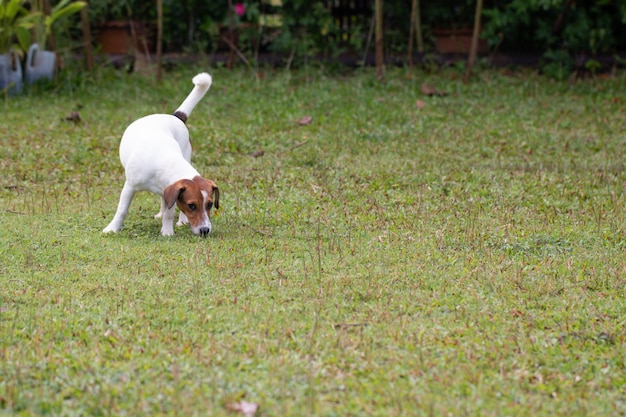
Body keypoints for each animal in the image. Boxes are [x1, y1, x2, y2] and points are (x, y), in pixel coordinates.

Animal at [103, 70, 219, 237]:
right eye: (191, 205)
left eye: (210, 204)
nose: (205, 230)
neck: (166, 161)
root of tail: (174, 116)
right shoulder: (129, 186)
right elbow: (122, 210)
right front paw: (113, 228)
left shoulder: (171, 191)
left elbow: (169, 213)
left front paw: (167, 231)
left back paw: (181, 220)